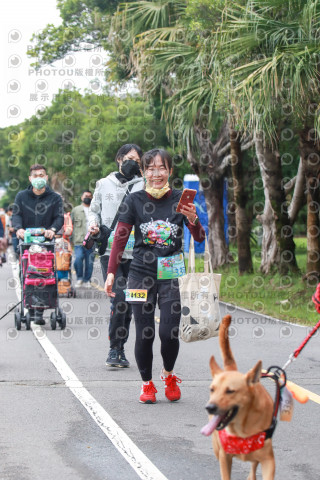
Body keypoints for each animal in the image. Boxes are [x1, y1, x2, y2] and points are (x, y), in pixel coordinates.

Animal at [202, 316, 276, 480]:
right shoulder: (224, 456)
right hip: (216, 449)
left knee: (253, 466)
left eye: (230, 391)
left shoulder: (268, 460)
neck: (242, 430)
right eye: (212, 389)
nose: (210, 408)